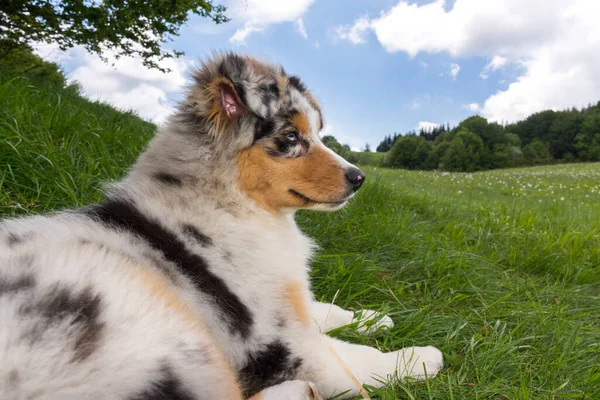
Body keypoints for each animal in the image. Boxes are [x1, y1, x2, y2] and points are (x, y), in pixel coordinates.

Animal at [0, 54, 440, 400]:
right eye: (291, 137)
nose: (359, 178)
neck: (232, 204)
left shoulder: (280, 300)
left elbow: (323, 309)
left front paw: (373, 317)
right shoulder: (278, 340)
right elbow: (350, 359)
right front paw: (418, 358)